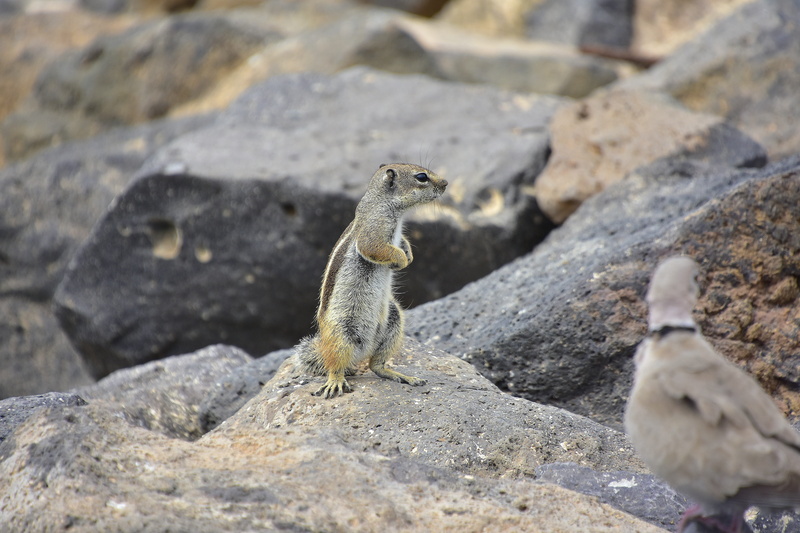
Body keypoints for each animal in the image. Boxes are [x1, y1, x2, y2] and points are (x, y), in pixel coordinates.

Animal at [295, 163, 448, 398]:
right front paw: (401, 260)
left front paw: (408, 254)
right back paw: (335, 381)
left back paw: (400, 375)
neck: (382, 203)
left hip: (393, 320)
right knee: (335, 365)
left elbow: (402, 243)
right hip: (341, 333)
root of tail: (360, 352)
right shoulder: (374, 230)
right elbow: (375, 247)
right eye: (422, 177)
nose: (446, 183)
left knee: (376, 365)